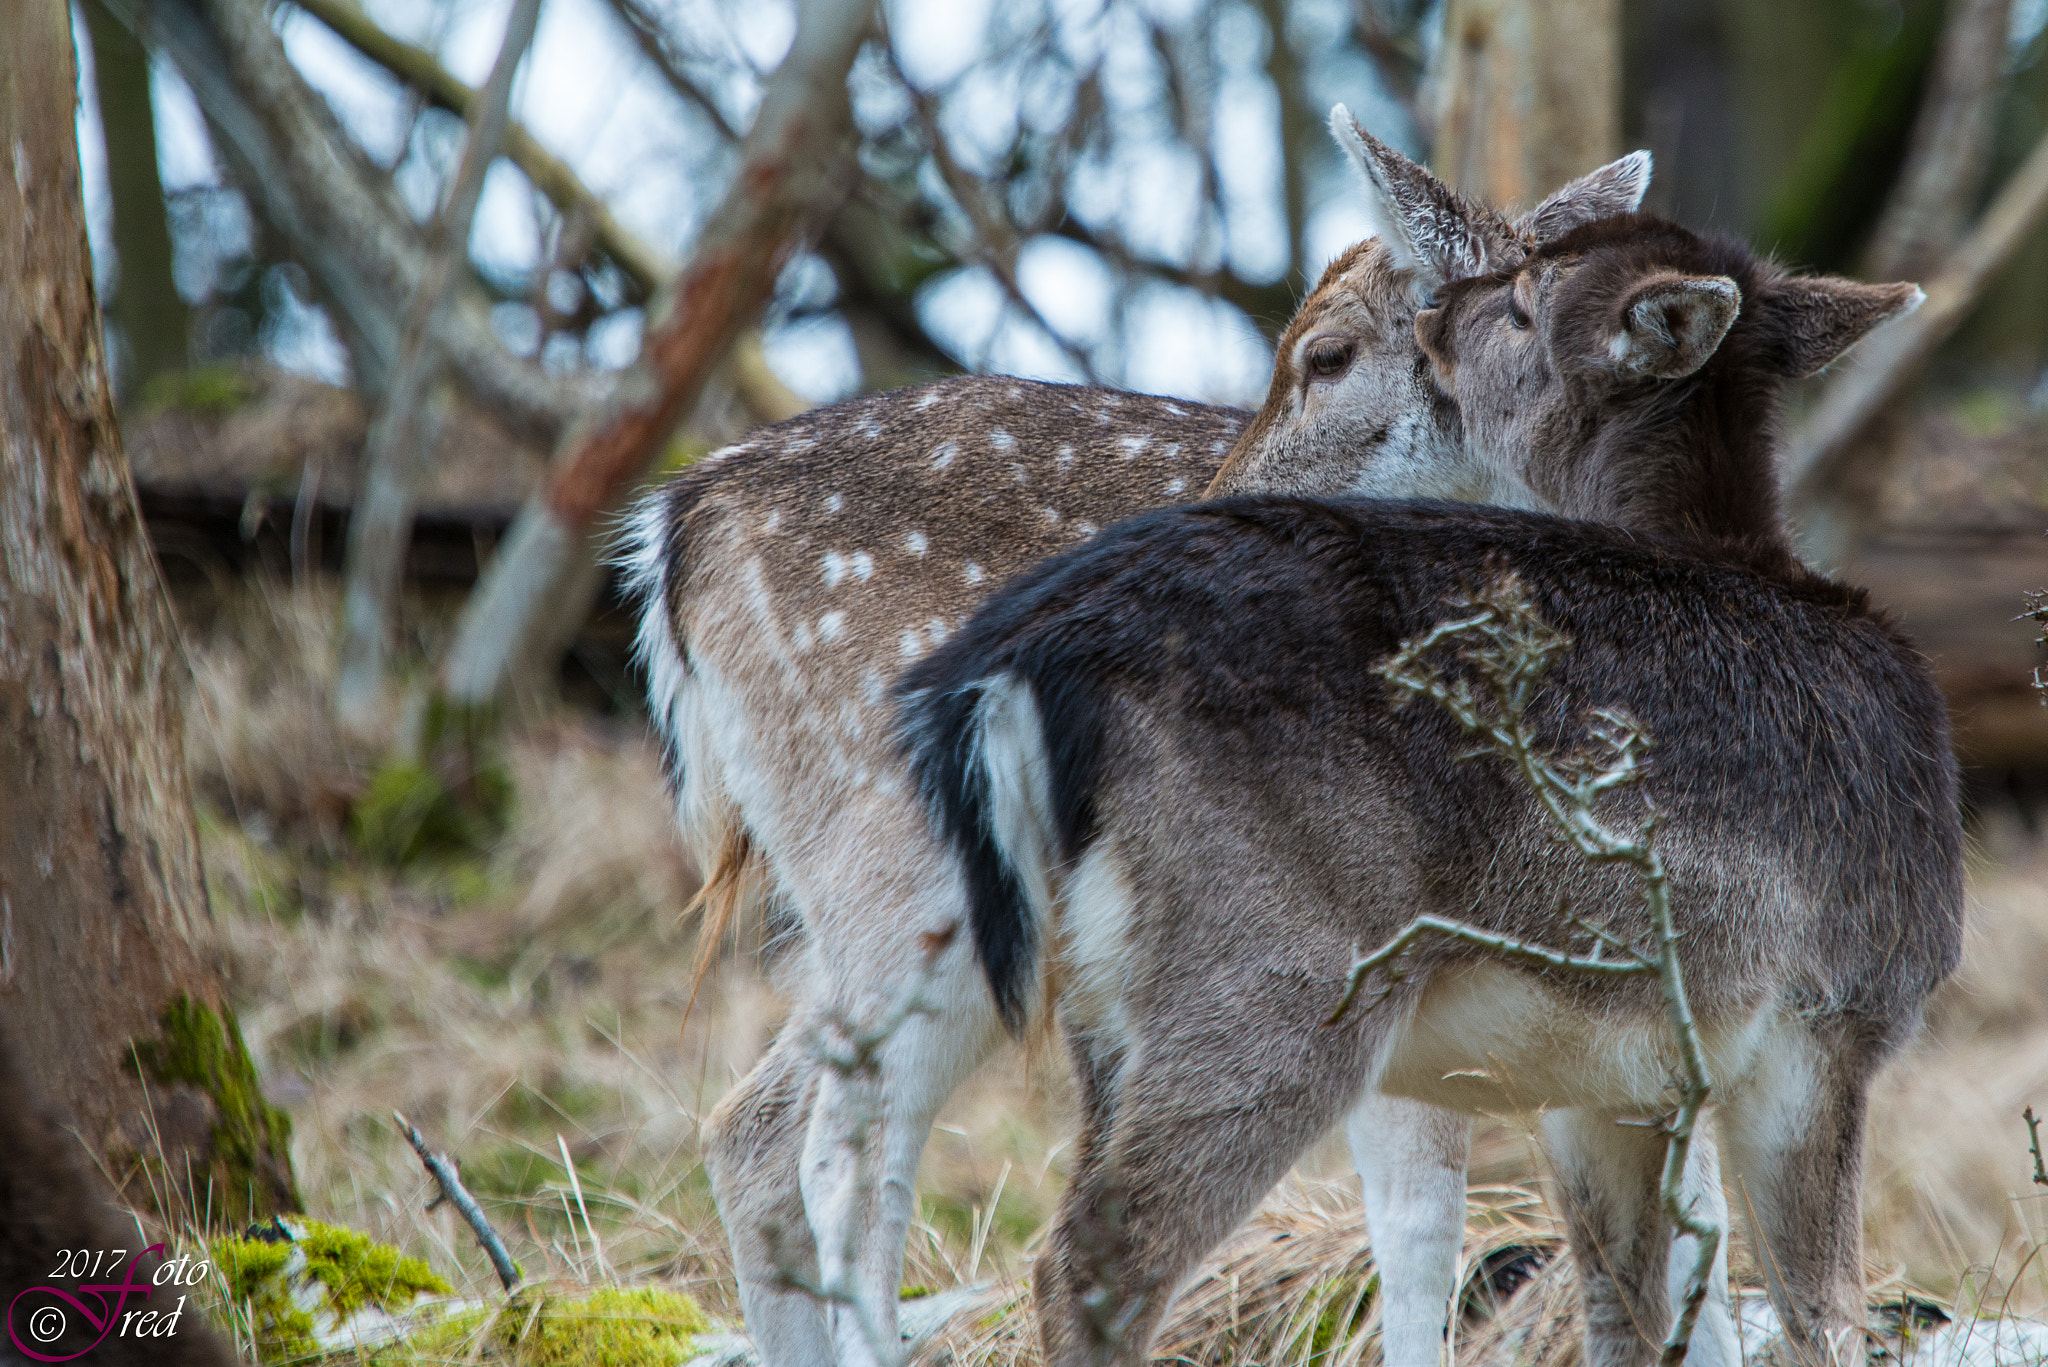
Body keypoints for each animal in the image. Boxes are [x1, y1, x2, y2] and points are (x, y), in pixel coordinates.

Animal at [614, 109, 1654, 1367]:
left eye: (1326, 358)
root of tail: (678, 521)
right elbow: (1424, 1218)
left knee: (752, 1127)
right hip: (917, 865)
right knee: (839, 1153)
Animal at [901, 216, 1949, 1367]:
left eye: (1528, 302)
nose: (1433, 311)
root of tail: (1024, 663)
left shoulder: (1620, 1077)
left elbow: (1628, 1309)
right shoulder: (1836, 1007)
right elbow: (1824, 1309)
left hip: (1101, 1003)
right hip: (1268, 965)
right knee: (1096, 1255)